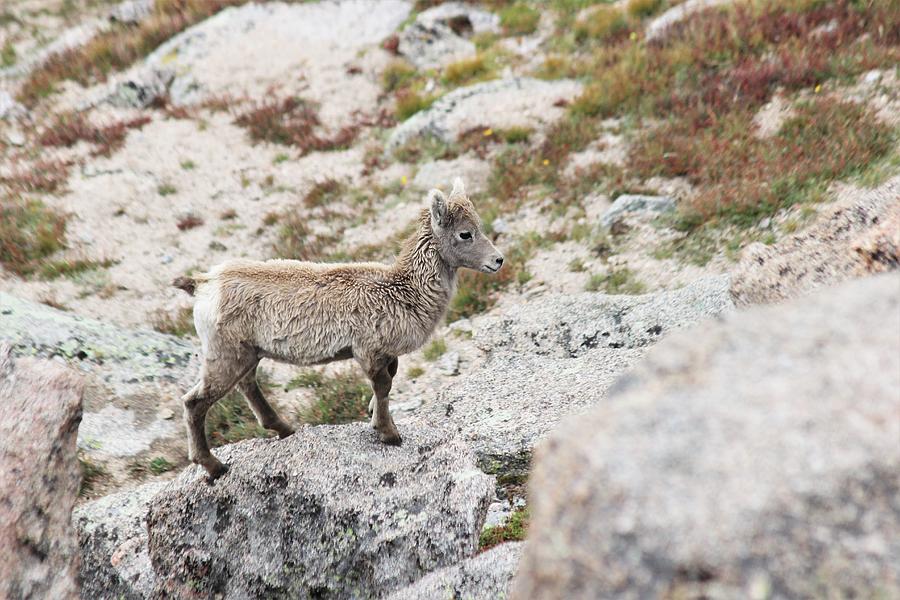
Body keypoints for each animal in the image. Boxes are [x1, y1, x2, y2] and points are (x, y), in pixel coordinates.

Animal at [172, 178, 502, 478]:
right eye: (465, 233)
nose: (498, 260)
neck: (402, 291)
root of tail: (203, 285)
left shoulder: (386, 354)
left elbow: (387, 384)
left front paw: (373, 415)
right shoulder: (368, 352)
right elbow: (383, 386)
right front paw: (389, 434)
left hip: (248, 355)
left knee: (247, 386)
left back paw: (285, 429)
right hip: (225, 357)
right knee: (194, 403)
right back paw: (214, 467)